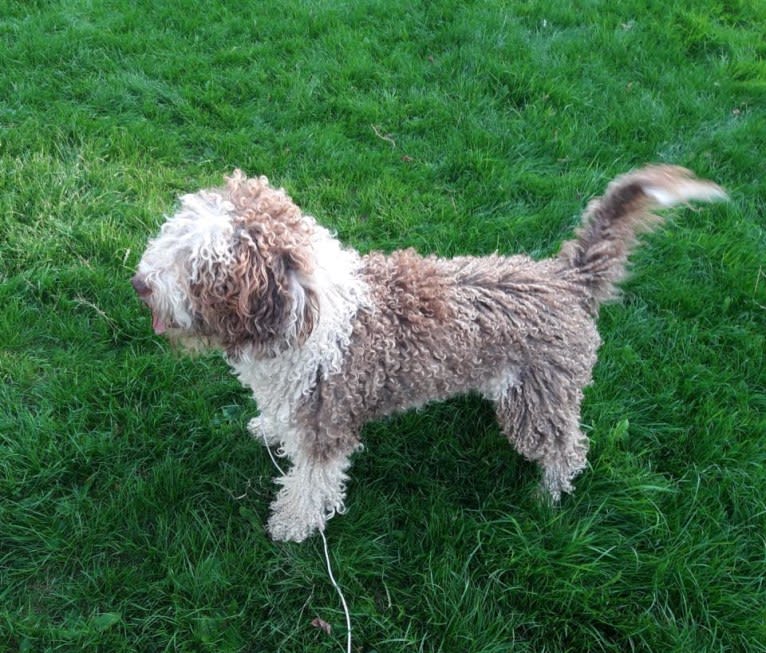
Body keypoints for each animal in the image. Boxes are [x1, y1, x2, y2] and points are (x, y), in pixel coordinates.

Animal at [132, 167, 728, 540]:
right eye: (170, 239)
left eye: (201, 267)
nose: (139, 283)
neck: (304, 313)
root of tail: (564, 277)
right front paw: (268, 429)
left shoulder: (329, 423)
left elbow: (312, 483)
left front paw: (292, 527)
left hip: (539, 399)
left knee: (569, 447)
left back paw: (549, 496)